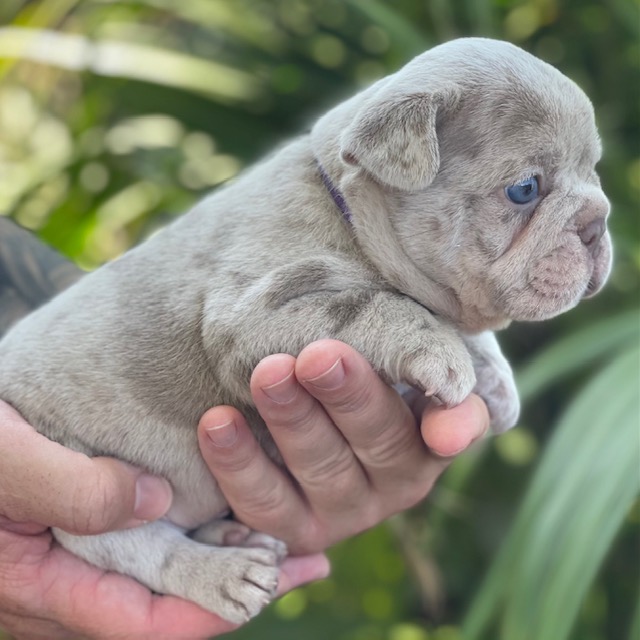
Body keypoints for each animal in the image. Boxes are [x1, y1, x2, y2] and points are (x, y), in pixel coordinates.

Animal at [0, 37, 608, 624]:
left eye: (596, 171)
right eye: (525, 189)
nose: (599, 221)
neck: (347, 212)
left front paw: (496, 378)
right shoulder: (256, 315)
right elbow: (379, 306)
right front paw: (442, 352)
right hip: (92, 477)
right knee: (134, 547)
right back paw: (221, 572)